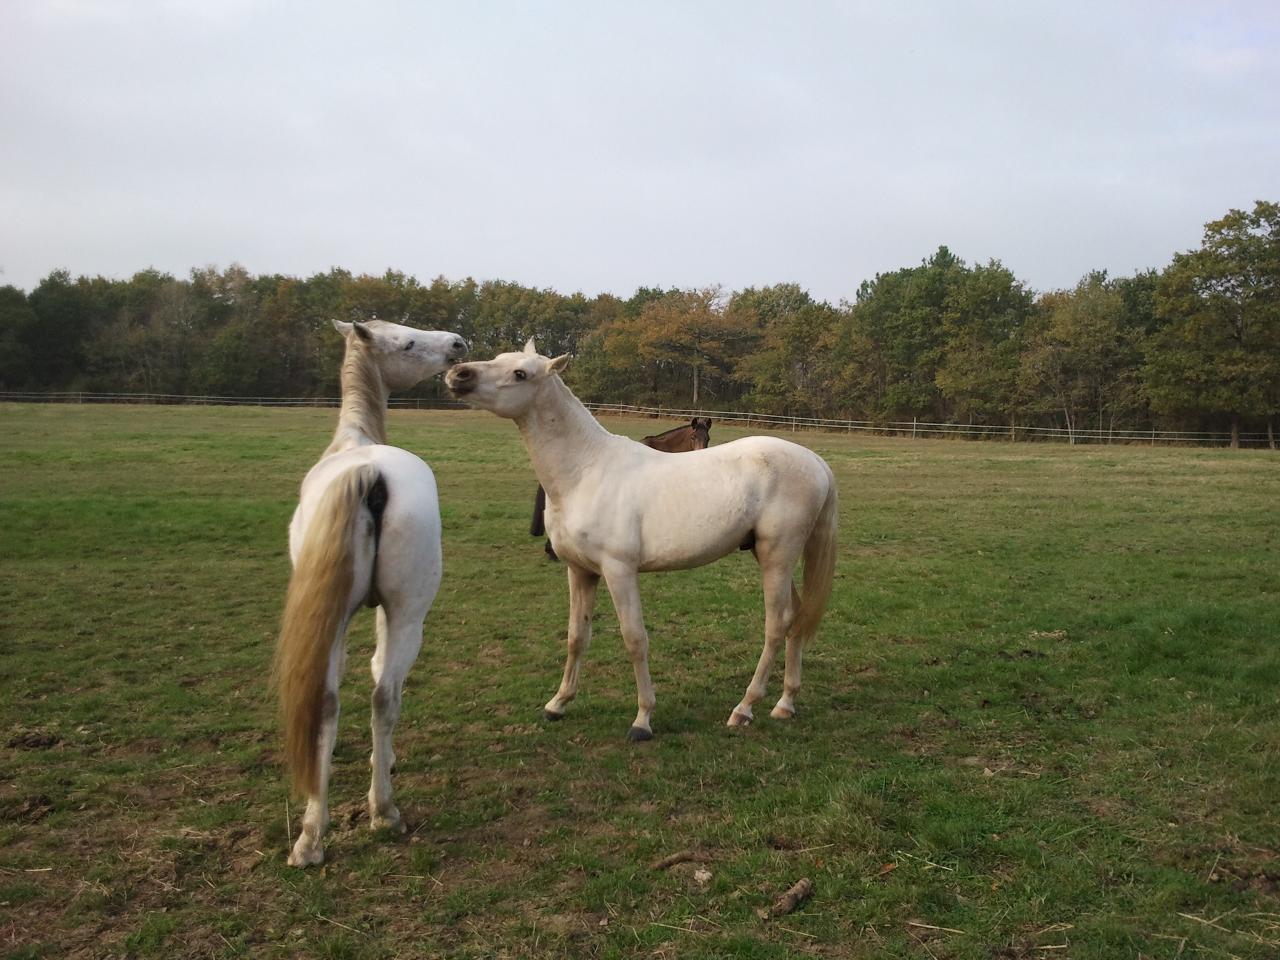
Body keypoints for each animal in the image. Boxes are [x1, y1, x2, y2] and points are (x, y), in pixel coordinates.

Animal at [277, 320, 468, 870]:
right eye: (407, 341)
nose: (458, 345)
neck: (353, 442)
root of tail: (370, 473)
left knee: (351, 699)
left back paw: (330, 829)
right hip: (407, 617)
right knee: (375, 695)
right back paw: (361, 819)